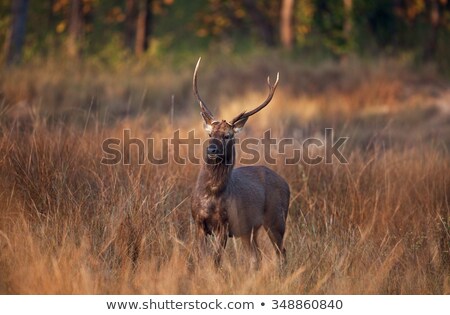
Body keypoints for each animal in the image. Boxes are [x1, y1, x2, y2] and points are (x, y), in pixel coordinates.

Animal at [191, 58, 290, 270]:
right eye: (210, 134)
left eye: (228, 135)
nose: (211, 150)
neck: (211, 196)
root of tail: (286, 184)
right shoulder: (198, 222)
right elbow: (201, 259)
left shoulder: (225, 224)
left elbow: (216, 260)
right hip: (249, 229)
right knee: (256, 257)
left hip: (276, 219)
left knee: (281, 253)